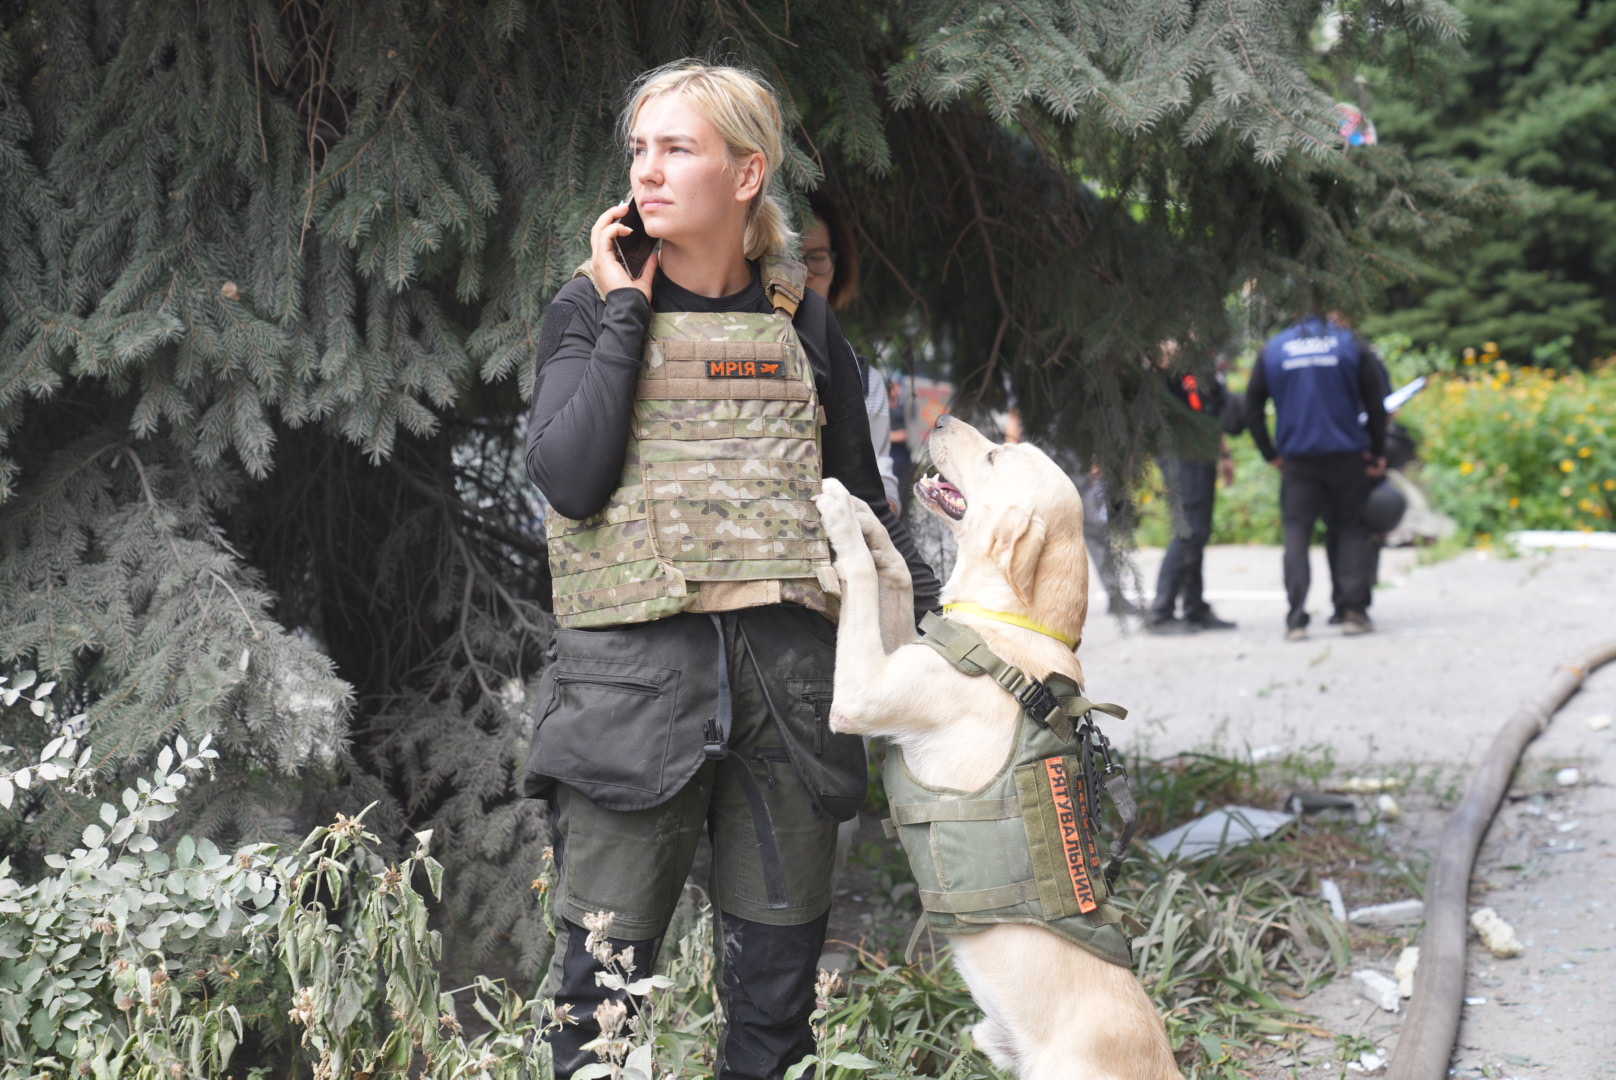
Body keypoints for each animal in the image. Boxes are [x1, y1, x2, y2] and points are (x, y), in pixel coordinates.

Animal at [820, 417, 1176, 1080]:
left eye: (992, 457)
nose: (937, 419)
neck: (1011, 627)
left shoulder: (862, 694)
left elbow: (859, 578)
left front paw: (838, 513)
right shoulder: (901, 648)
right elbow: (895, 576)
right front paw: (867, 517)